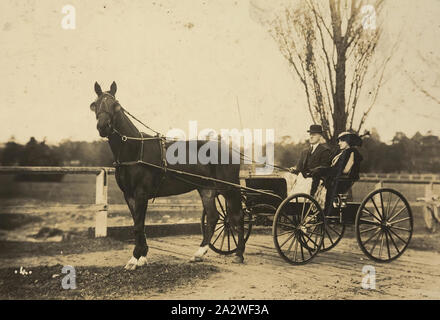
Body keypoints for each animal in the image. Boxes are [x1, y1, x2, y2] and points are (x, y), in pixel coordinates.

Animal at [90, 81, 246, 268]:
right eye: (95, 105)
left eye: (116, 105)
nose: (103, 127)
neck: (135, 150)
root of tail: (231, 149)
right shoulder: (129, 195)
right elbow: (138, 224)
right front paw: (142, 256)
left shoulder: (141, 194)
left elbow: (138, 225)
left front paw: (135, 258)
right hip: (206, 189)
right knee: (213, 216)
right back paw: (199, 253)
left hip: (229, 188)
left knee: (237, 216)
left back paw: (239, 254)